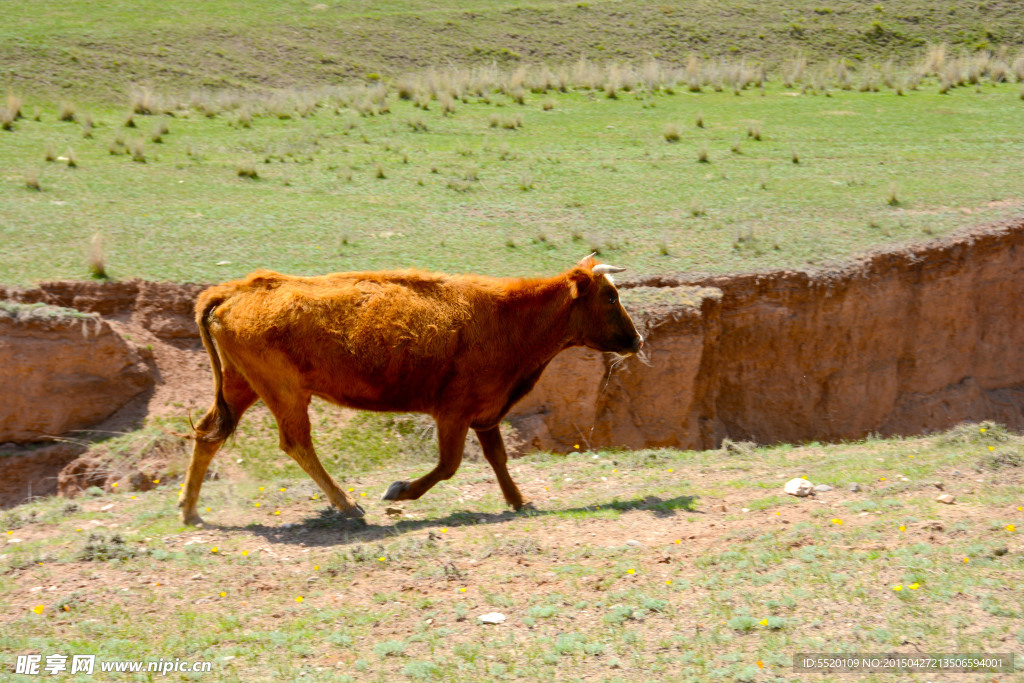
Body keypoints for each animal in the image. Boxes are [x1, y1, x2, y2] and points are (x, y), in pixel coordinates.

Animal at [178, 253, 638, 528]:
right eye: (610, 297)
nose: (636, 340)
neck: (510, 315)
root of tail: (237, 289)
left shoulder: (485, 415)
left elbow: (498, 457)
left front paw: (519, 500)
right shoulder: (453, 414)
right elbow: (449, 465)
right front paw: (399, 490)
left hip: (241, 386)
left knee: (208, 434)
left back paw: (190, 511)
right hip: (285, 393)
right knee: (296, 442)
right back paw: (348, 505)